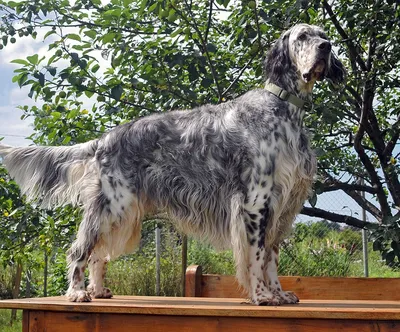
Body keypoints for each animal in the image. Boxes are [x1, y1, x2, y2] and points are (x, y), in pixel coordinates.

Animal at [0, 24, 344, 306]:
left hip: (123, 212)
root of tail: (105, 139)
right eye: (303, 37)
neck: (284, 108)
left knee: (99, 253)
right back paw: (77, 293)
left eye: (323, 35)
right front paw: (261, 296)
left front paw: (279, 294)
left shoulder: (281, 205)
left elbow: (271, 257)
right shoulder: (256, 202)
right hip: (112, 205)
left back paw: (97, 290)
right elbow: (257, 257)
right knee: (80, 250)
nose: (326, 46)